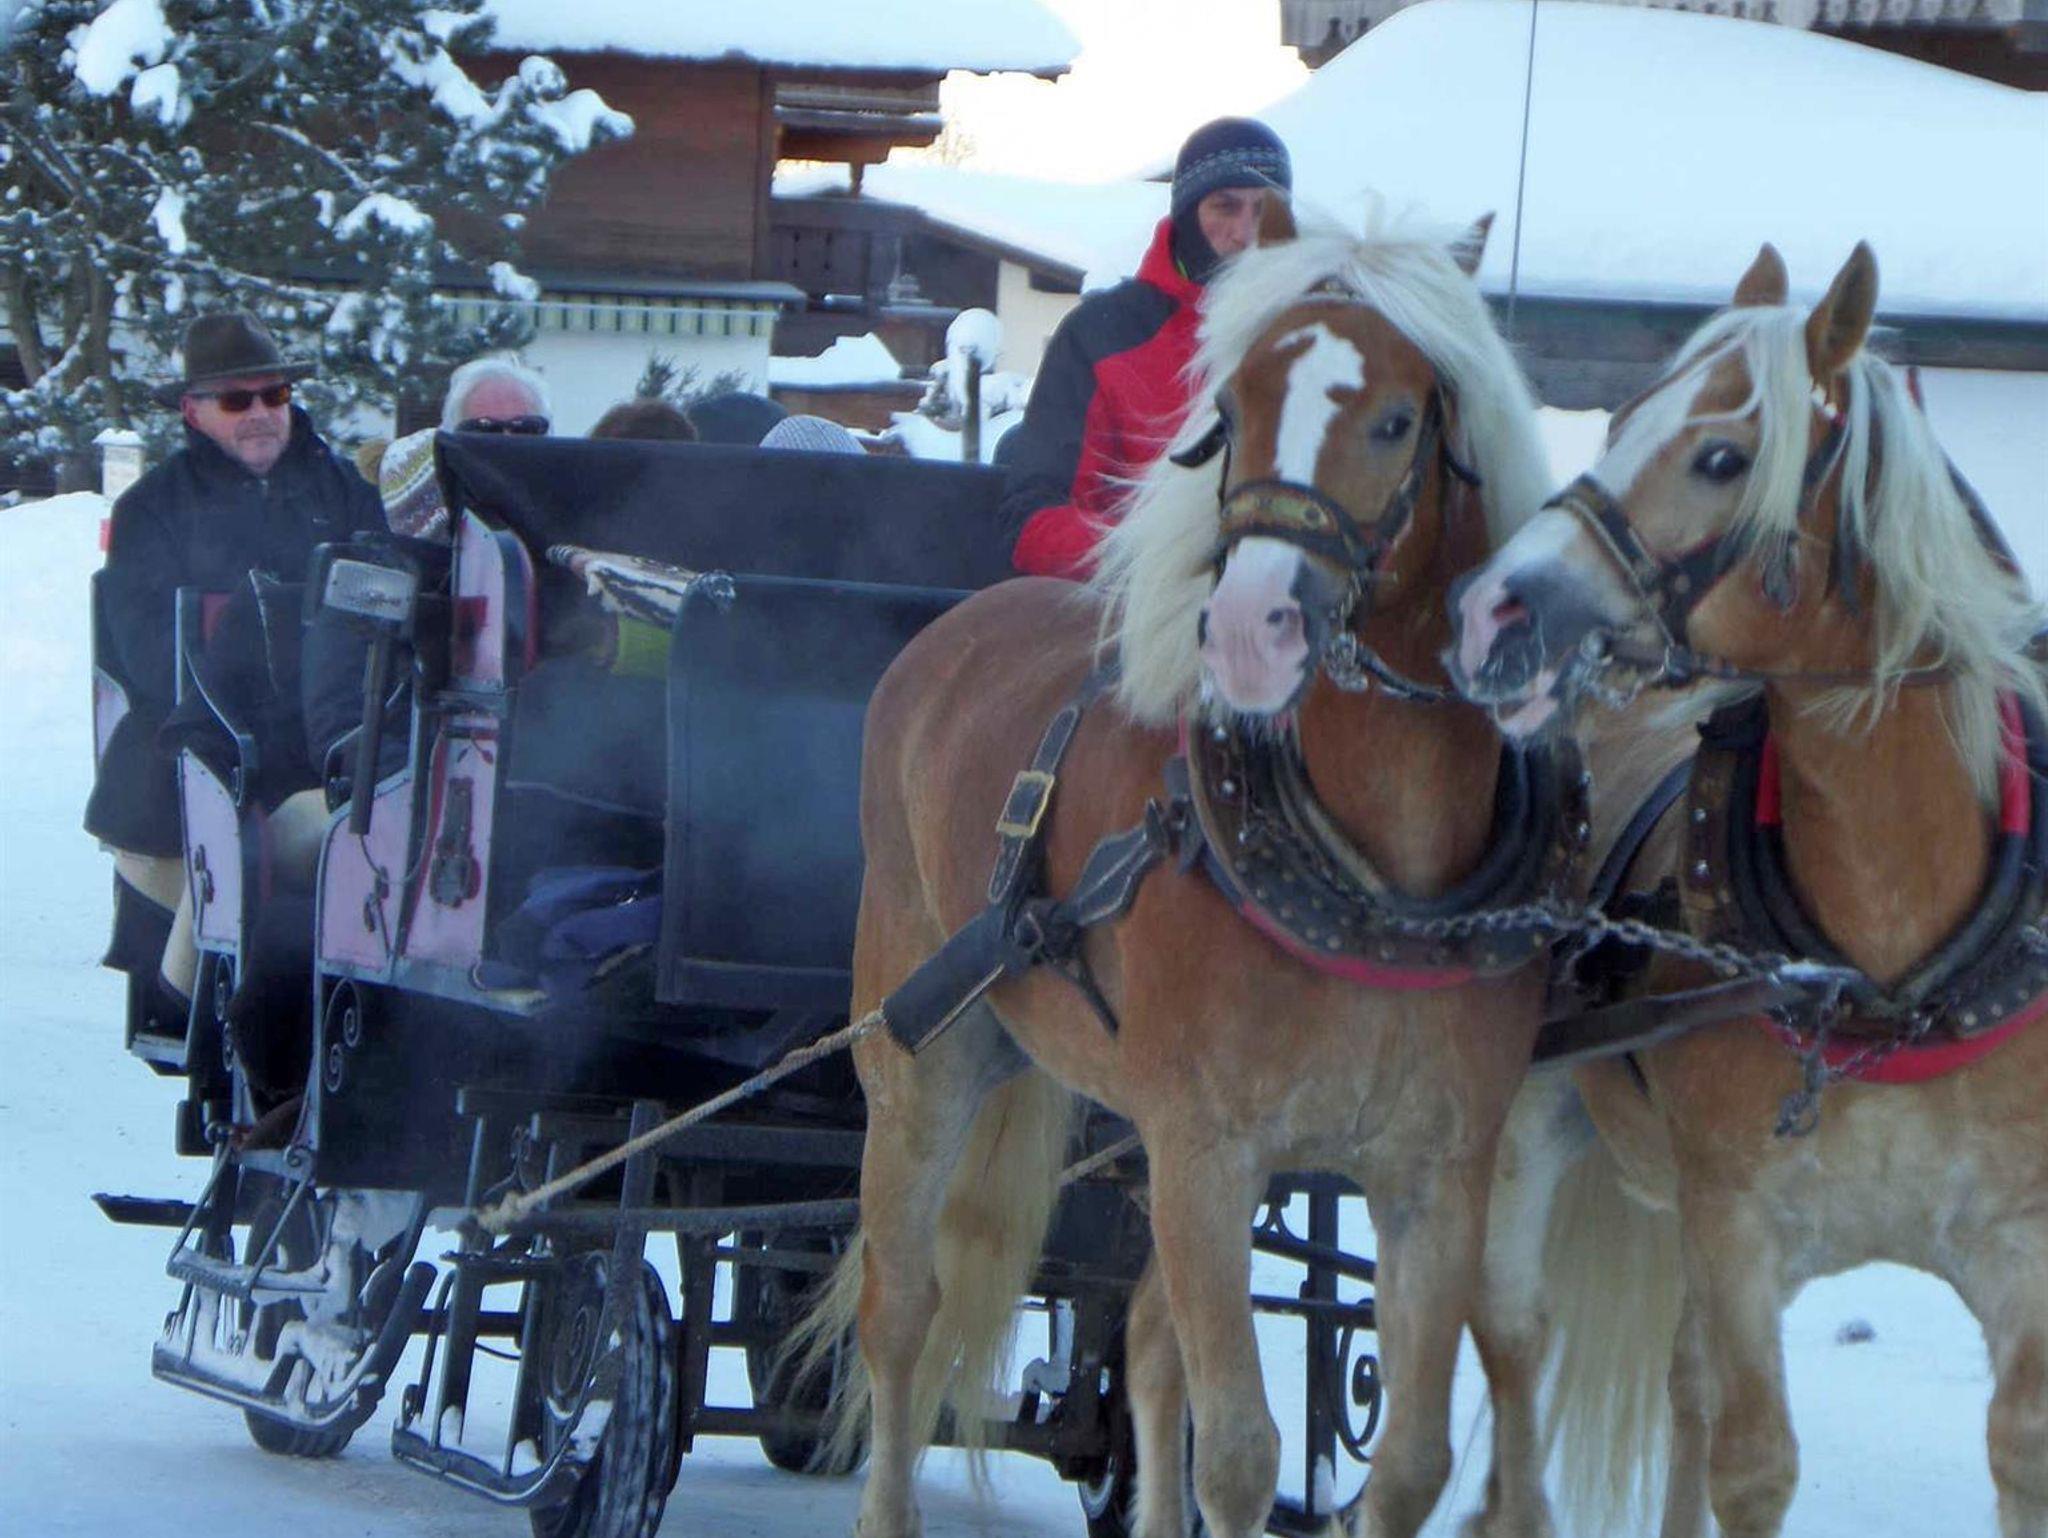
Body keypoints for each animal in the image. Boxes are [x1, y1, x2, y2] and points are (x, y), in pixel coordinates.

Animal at [802, 199, 1572, 1538]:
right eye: (1236, 404)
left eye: (1394, 418)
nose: (1249, 624)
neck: (1372, 882)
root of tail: (945, 636)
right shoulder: (1206, 1153)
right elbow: (1241, 1453)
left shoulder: (1432, 1176)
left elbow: (1405, 1462)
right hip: (921, 1057)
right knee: (898, 1317)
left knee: (1148, 1349)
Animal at [1448, 241, 2048, 1538]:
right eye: (1620, 415)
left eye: (1720, 456)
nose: (1487, 607)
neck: (1883, 971)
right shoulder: (1736, 1225)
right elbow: (1754, 1464)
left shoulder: (2020, 1246)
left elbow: (2019, 1454)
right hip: (1519, 1138)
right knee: (1516, 1346)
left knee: (1680, 1383)